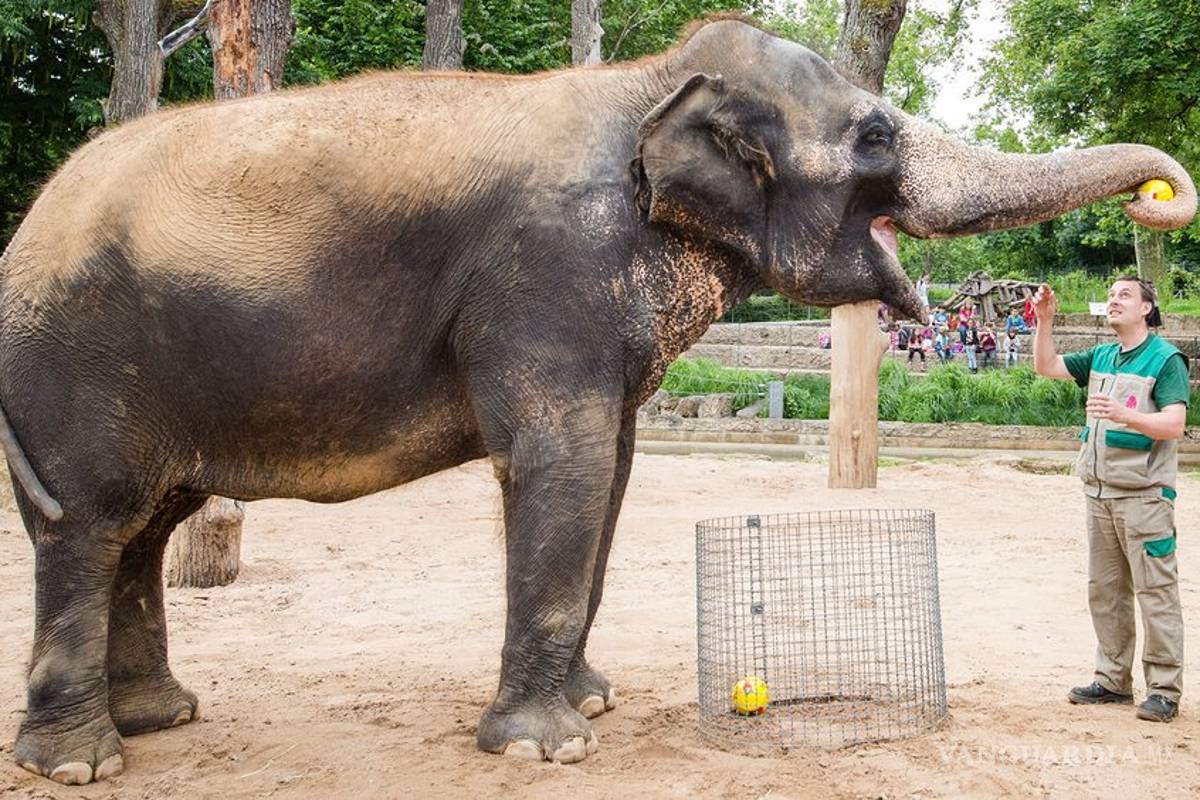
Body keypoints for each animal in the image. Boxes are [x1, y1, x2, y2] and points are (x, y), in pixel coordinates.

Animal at [2, 13, 1195, 785]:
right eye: (874, 137)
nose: (1156, 195)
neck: (648, 81)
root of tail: (27, 223)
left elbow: (613, 470)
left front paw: (593, 701)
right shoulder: (546, 276)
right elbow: (563, 465)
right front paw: (550, 746)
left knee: (144, 529)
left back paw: (160, 720)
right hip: (74, 367)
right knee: (93, 524)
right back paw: (82, 762)